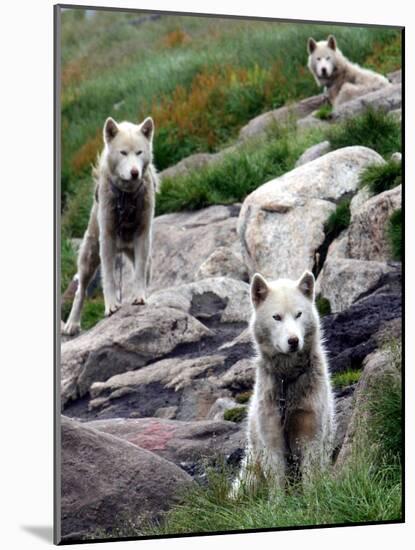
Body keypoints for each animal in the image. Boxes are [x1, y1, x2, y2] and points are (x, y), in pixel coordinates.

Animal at [64, 115, 160, 336]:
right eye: (123, 152)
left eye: (139, 152)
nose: (134, 172)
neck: (127, 195)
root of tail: (123, 247)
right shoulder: (107, 237)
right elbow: (108, 277)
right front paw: (110, 306)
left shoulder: (143, 235)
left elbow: (138, 274)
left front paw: (139, 297)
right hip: (89, 256)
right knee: (80, 291)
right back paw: (72, 324)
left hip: (147, 259)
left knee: (142, 273)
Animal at [232, 272, 336, 496]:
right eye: (276, 317)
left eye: (298, 314)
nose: (293, 341)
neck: (286, 381)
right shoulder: (272, 438)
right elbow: (276, 484)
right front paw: (277, 504)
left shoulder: (311, 434)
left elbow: (310, 478)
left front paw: (312, 500)